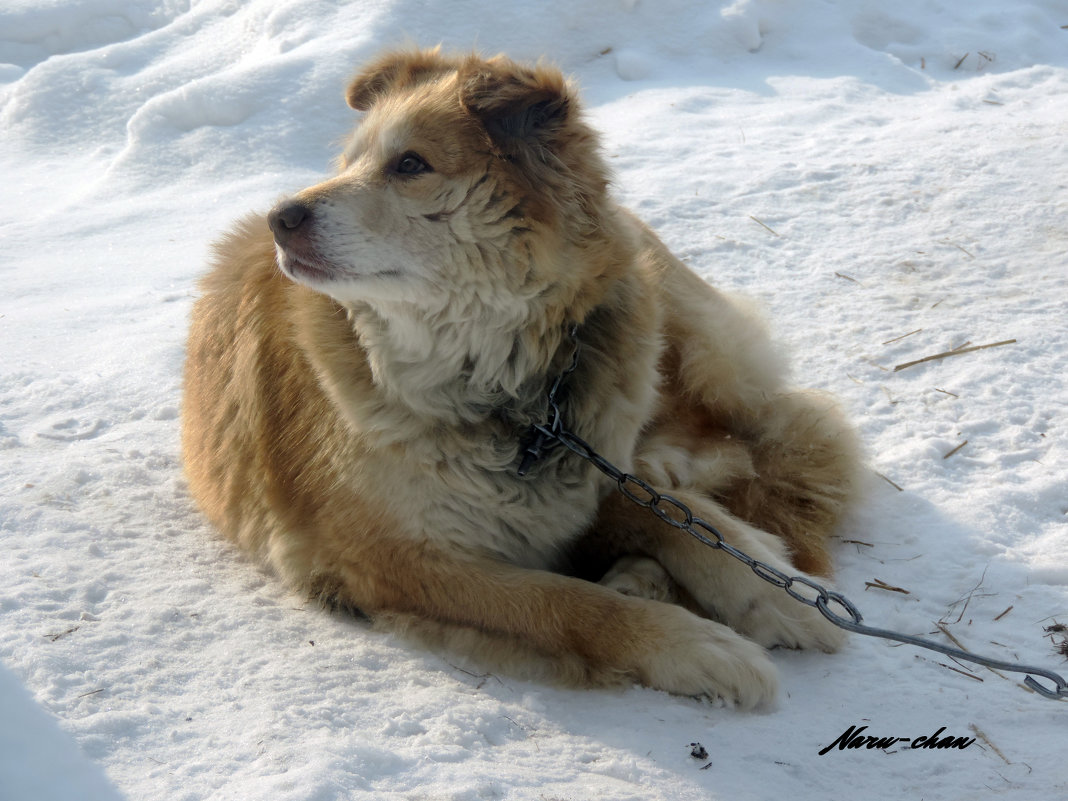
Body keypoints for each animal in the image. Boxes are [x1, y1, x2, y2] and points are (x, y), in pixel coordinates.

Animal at [183, 46, 862, 709]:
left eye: (410, 164)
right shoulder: (393, 559)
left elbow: (683, 519)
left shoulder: (587, 464)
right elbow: (567, 602)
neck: (512, 398)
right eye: (348, 164)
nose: (280, 217)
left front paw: (777, 594)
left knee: (736, 446)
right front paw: (695, 646)